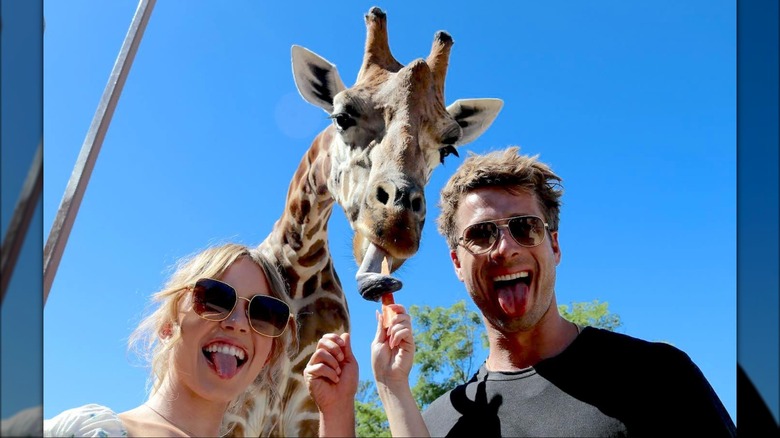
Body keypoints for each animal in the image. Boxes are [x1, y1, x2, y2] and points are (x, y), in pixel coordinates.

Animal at [229, 6, 502, 438]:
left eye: (449, 148)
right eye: (342, 116)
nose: (397, 225)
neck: (299, 263)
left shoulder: (306, 409)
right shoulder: (237, 405)